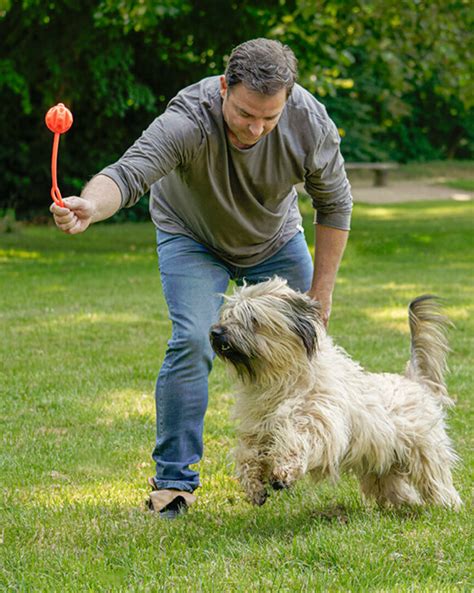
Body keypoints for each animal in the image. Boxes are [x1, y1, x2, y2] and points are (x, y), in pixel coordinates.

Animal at [209, 278, 462, 508]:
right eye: (228, 314)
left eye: (253, 319)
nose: (216, 332)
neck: (281, 380)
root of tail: (413, 381)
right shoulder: (258, 429)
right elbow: (247, 455)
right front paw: (254, 486)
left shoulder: (318, 421)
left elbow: (297, 439)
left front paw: (284, 472)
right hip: (380, 462)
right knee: (393, 487)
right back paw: (408, 505)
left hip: (425, 451)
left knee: (434, 480)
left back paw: (446, 505)